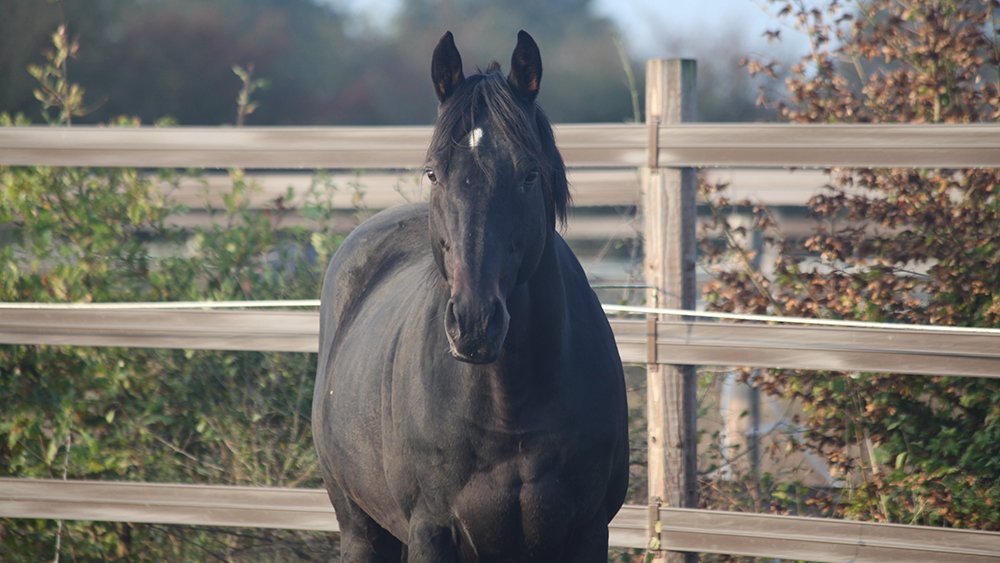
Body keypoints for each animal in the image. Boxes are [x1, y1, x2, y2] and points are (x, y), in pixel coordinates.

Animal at [312, 30, 629, 562]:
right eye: (433, 173)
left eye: (528, 174)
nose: (475, 324)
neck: (509, 406)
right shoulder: (432, 532)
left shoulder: (587, 533)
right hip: (360, 528)